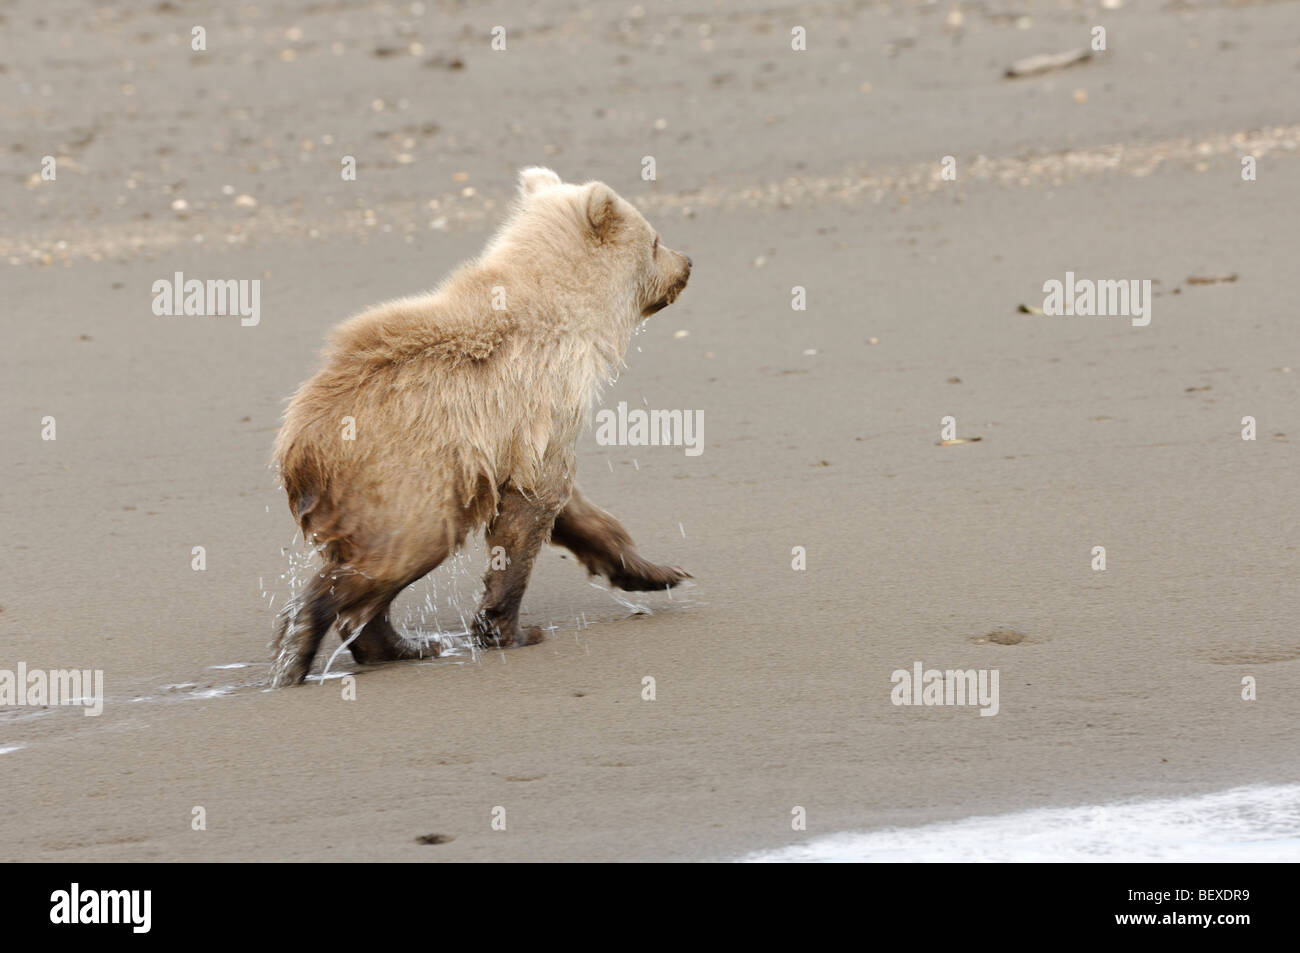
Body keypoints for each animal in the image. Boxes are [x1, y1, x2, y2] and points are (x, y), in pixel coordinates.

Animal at [269, 167, 692, 686]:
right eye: (654, 239)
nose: (687, 262)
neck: (570, 316)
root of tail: (296, 442)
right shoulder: (537, 401)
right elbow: (530, 514)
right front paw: (511, 628)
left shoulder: (526, 438)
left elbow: (575, 509)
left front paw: (657, 571)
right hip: (403, 480)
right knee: (392, 557)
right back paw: (301, 648)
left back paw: (405, 645)